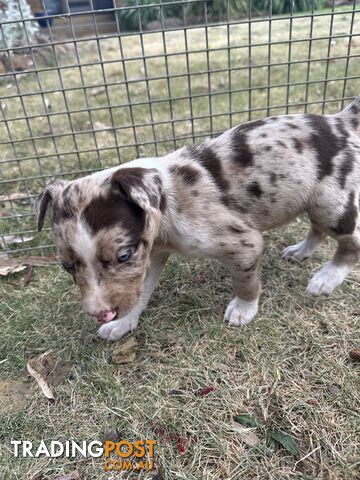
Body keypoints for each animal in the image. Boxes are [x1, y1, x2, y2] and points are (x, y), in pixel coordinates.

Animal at [36, 95, 360, 340]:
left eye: (123, 256)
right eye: (66, 266)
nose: (102, 314)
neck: (168, 206)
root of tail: (341, 120)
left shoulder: (244, 243)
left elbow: (245, 282)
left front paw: (243, 310)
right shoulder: (151, 255)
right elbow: (139, 292)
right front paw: (121, 324)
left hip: (331, 202)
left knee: (349, 242)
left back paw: (327, 278)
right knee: (317, 229)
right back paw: (301, 251)